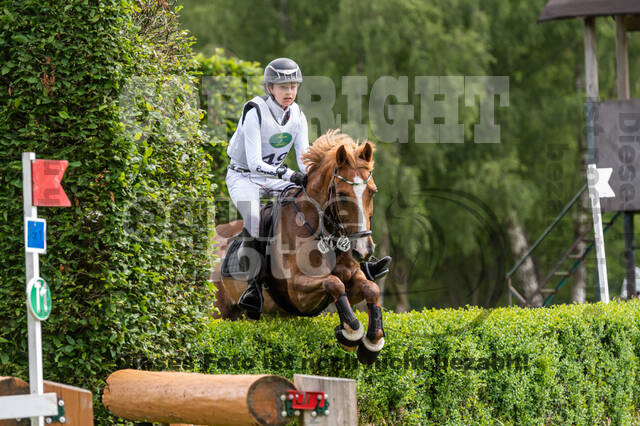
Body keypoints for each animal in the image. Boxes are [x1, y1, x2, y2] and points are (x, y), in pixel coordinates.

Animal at [211, 130, 385, 364]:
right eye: (342, 195)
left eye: (372, 192)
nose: (364, 251)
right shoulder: (297, 292)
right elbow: (334, 283)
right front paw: (351, 333)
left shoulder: (352, 278)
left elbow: (371, 288)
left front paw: (372, 342)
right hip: (215, 311)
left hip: (242, 317)